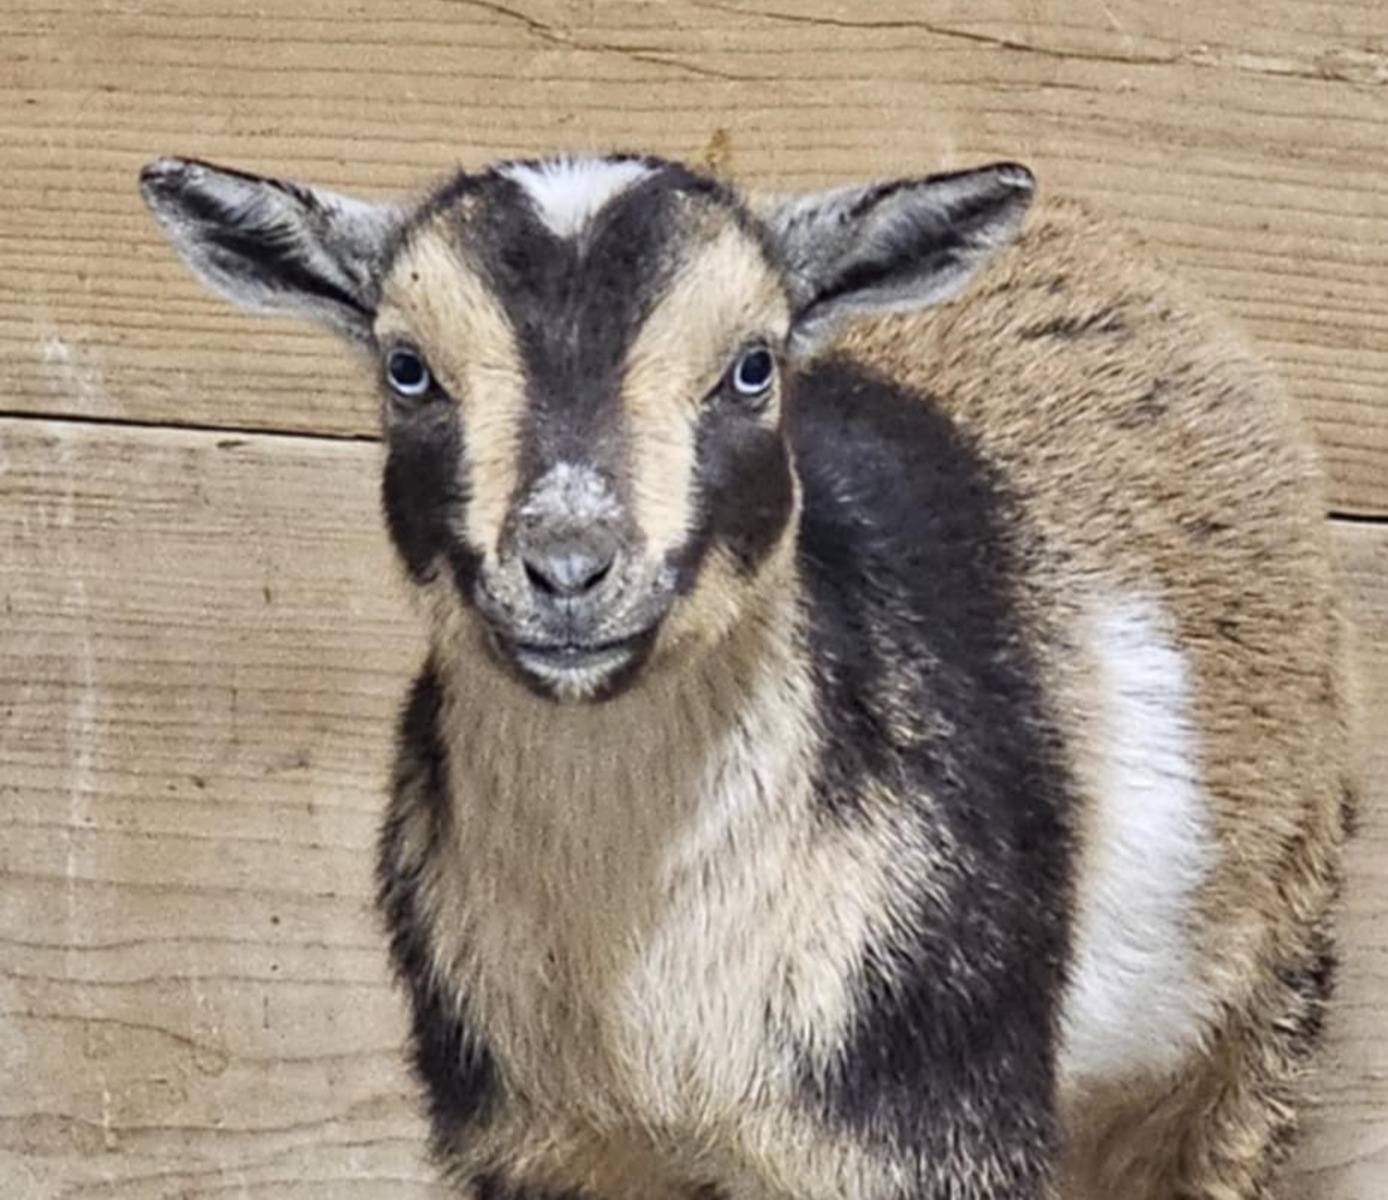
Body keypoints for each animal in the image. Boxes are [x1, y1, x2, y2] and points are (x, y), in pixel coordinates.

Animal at [141, 151, 1354, 1200]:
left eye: (752, 366)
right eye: (406, 369)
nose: (568, 566)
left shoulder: (920, 1123)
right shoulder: (544, 1143)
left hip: (1261, 997)